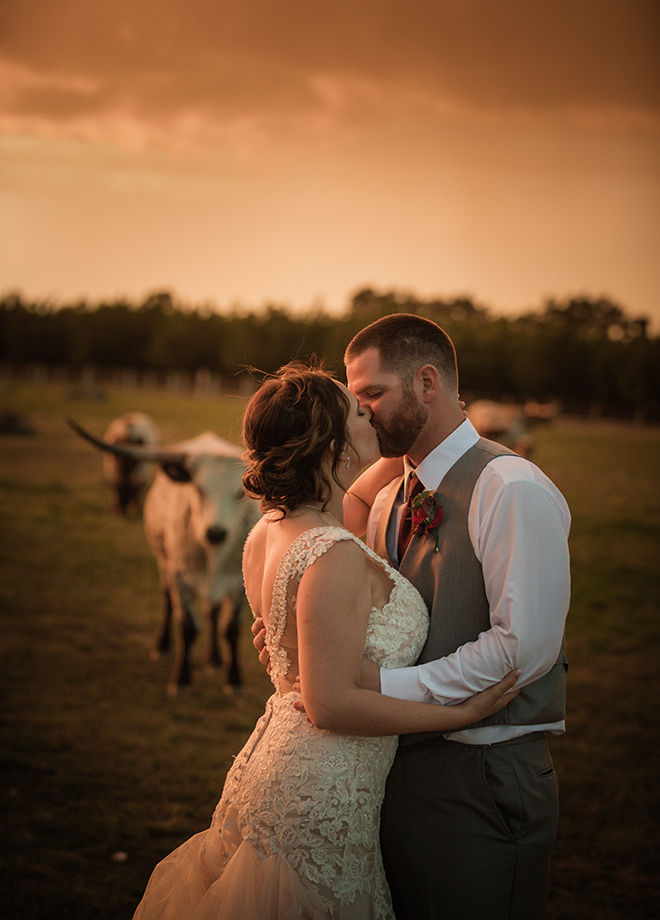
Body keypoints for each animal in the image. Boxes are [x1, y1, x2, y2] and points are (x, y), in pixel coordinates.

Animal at [68, 420, 260, 692]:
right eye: (198, 488)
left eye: (241, 492)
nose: (215, 532)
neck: (213, 555)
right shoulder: (180, 575)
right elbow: (188, 626)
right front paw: (181, 679)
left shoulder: (239, 583)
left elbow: (230, 629)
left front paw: (233, 679)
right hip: (164, 563)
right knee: (167, 598)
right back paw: (163, 646)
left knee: (212, 611)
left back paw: (214, 660)